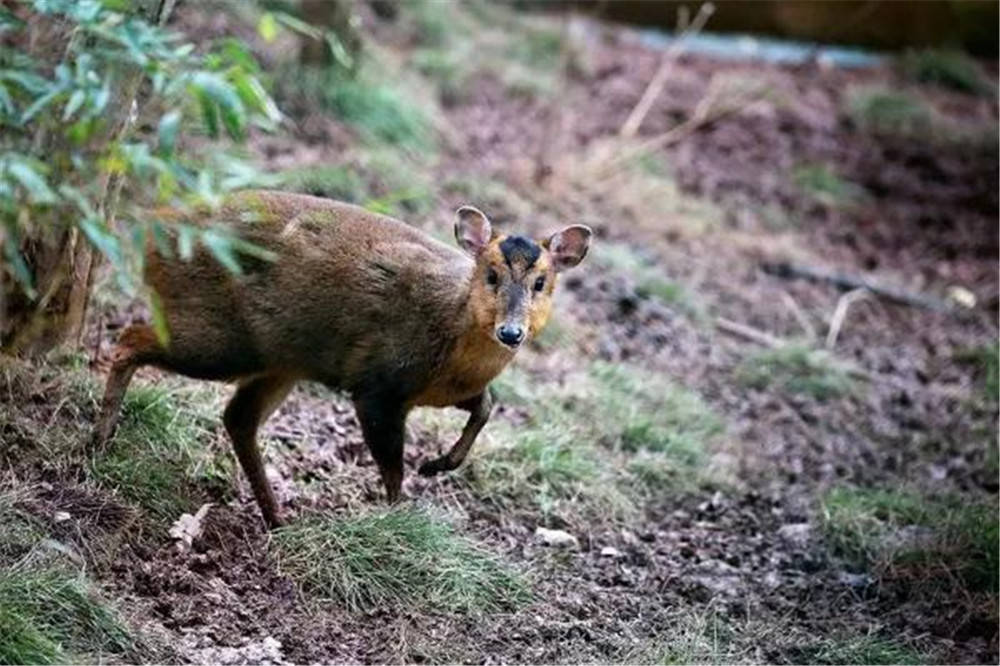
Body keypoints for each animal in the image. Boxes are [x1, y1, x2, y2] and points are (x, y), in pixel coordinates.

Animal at [90, 189, 588, 528]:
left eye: (541, 283)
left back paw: (277, 518)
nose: (511, 332)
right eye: (490, 275)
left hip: (280, 360)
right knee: (130, 339)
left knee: (238, 418)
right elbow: (392, 467)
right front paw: (400, 521)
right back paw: (100, 436)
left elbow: (485, 405)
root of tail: (155, 226)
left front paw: (438, 463)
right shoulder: (377, 384)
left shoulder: (434, 391)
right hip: (219, 338)